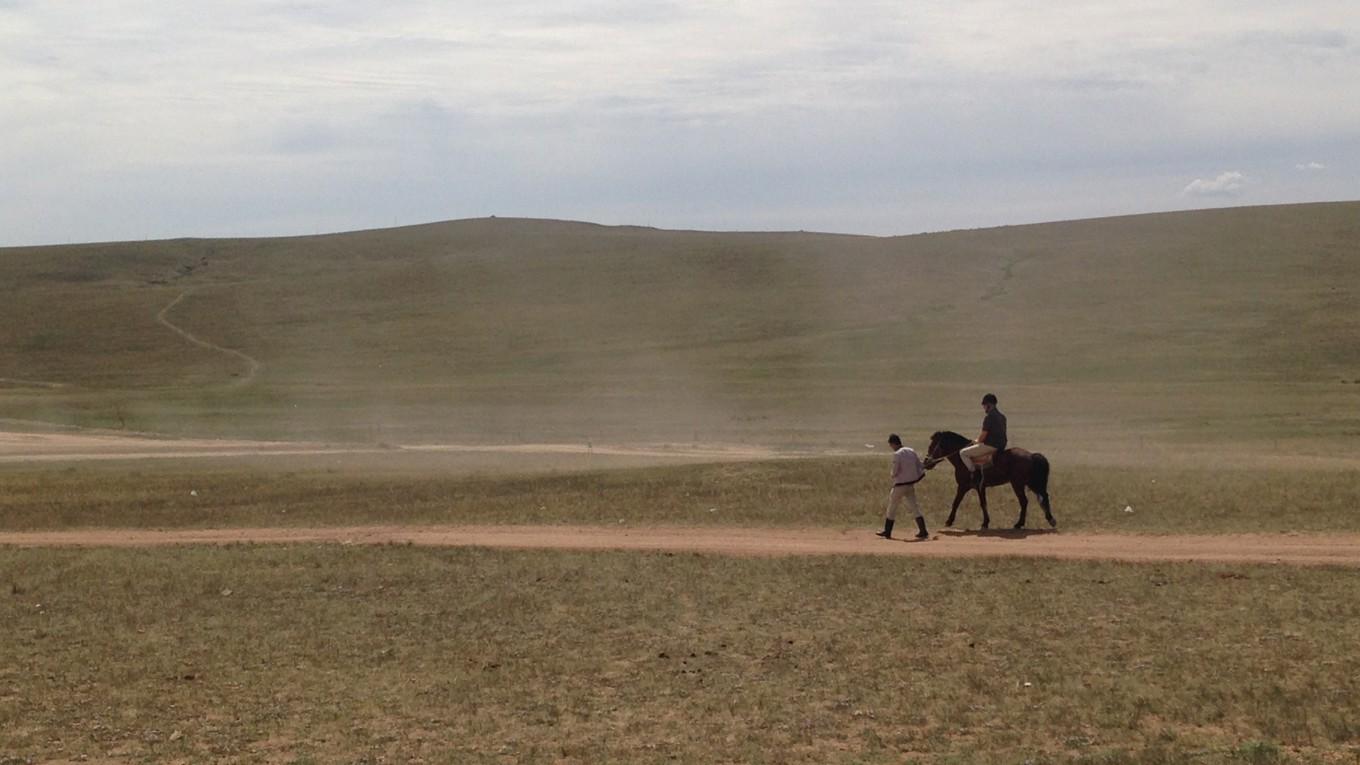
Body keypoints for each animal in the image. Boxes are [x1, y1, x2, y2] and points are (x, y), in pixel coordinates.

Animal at [919, 430, 1055, 530]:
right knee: (1043, 496)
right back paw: (1050, 519)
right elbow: (982, 503)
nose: (926, 462)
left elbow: (957, 502)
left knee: (1024, 501)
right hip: (1030, 483)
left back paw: (1019, 524)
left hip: (1019, 484)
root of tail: (1031, 455)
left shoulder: (964, 486)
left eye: (932, 446)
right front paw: (985, 522)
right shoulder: (979, 487)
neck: (961, 460)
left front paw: (949, 521)